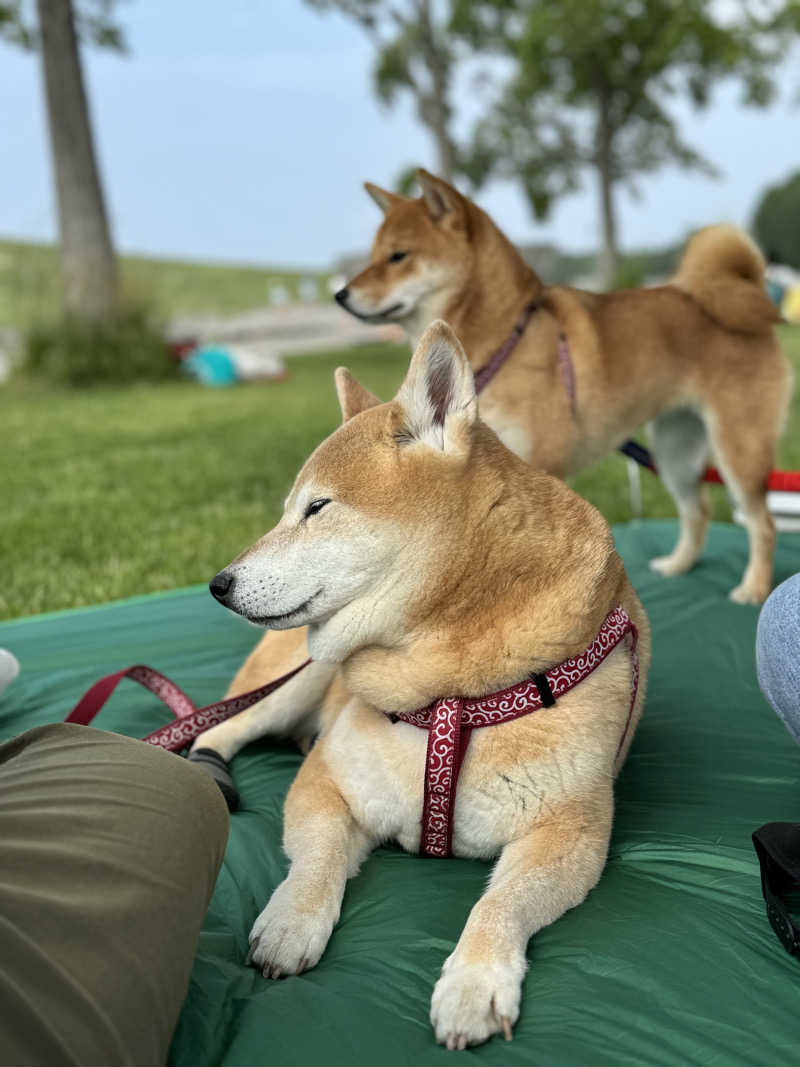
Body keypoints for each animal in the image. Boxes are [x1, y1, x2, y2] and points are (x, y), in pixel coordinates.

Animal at [199, 320, 652, 1045]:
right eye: (288, 509)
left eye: (317, 507)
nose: (218, 583)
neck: (445, 691)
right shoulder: (328, 782)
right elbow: (315, 862)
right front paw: (291, 922)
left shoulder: (569, 830)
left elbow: (500, 903)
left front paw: (474, 981)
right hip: (293, 682)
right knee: (216, 726)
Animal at [334, 170, 793, 606]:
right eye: (373, 256)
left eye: (398, 256)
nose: (340, 294)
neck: (506, 339)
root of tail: (748, 294)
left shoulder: (540, 467)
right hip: (673, 449)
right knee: (698, 509)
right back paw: (679, 565)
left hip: (738, 449)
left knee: (763, 523)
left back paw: (753, 588)